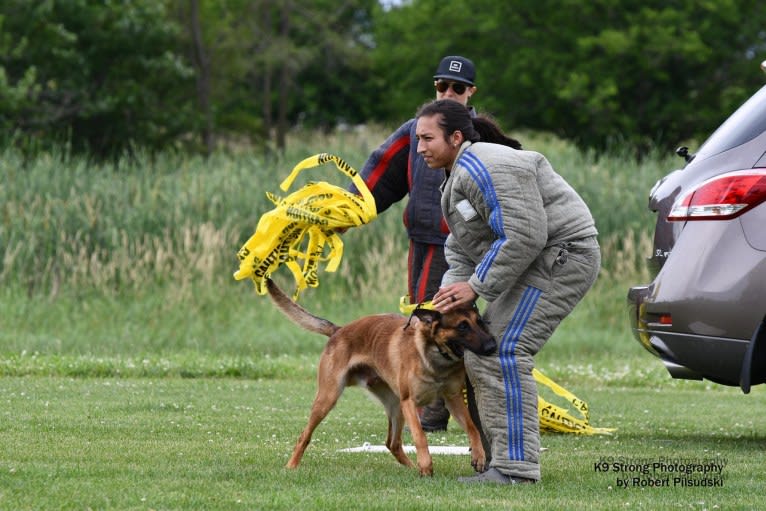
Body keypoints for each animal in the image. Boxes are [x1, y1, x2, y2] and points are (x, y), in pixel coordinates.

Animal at [268, 278, 498, 478]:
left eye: (480, 322)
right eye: (462, 326)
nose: (492, 346)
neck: (435, 358)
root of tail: (339, 330)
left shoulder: (453, 398)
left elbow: (473, 427)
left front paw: (478, 455)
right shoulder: (410, 402)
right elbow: (420, 437)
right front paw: (426, 465)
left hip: (395, 407)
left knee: (392, 443)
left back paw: (411, 467)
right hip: (328, 398)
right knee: (304, 436)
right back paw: (291, 466)